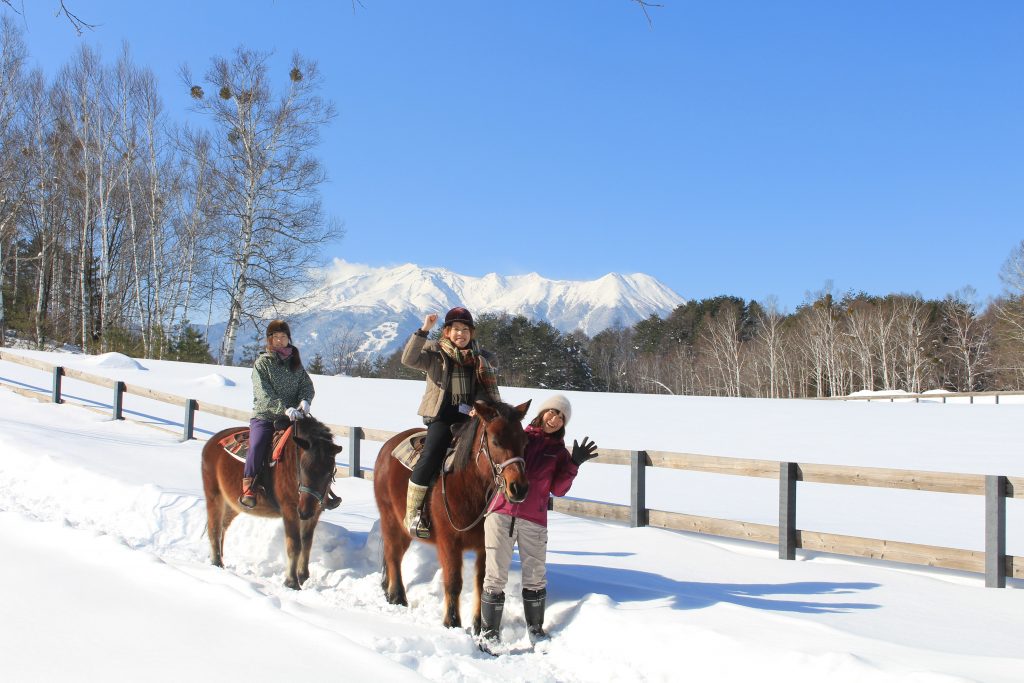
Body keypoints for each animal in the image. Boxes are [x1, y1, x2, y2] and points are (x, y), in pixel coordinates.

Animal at [200, 413, 344, 589]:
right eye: (302, 468)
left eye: (330, 472)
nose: (305, 512)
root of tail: (211, 442)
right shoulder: (290, 510)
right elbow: (294, 544)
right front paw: (291, 582)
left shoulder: (314, 512)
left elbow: (307, 542)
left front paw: (303, 576)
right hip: (214, 496)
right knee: (214, 528)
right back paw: (216, 562)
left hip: (233, 504)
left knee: (223, 527)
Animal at [378, 397, 536, 634]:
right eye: (496, 441)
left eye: (524, 442)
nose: (519, 488)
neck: (468, 484)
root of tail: (386, 447)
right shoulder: (449, 542)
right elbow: (453, 582)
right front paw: (452, 623)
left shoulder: (485, 546)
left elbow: (481, 583)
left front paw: (479, 626)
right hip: (391, 521)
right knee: (392, 555)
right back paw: (397, 597)